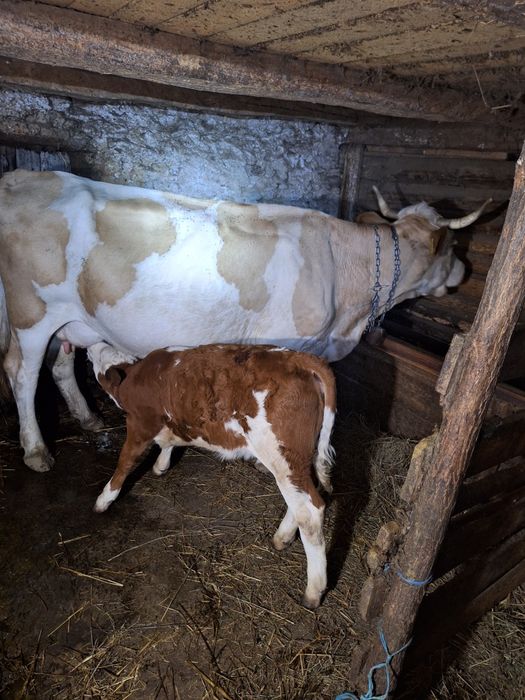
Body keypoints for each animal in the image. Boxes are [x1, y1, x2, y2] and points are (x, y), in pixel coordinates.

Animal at [0, 169, 490, 473]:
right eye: (451, 248)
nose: (465, 272)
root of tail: (26, 177)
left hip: (68, 321)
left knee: (60, 365)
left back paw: (87, 419)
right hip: (32, 313)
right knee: (21, 373)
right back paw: (36, 451)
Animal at [87, 341, 336, 609]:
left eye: (100, 359)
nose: (89, 347)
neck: (137, 374)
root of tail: (299, 358)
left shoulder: (140, 424)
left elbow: (124, 463)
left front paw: (104, 499)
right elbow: (168, 443)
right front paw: (161, 464)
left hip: (281, 456)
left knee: (310, 512)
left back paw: (313, 591)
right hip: (298, 460)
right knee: (305, 499)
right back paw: (283, 537)